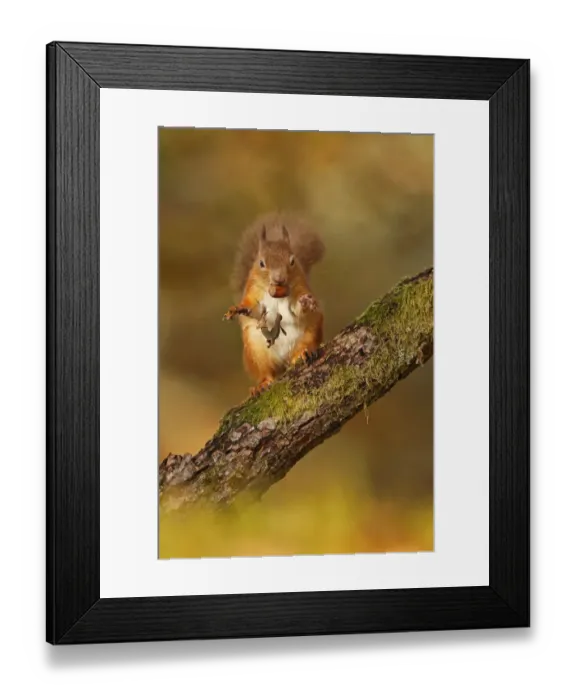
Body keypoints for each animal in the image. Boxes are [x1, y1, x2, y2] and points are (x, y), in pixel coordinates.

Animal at [223, 212, 325, 396]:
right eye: (261, 263)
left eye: (292, 260)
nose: (279, 278)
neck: (277, 293)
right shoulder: (253, 290)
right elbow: (253, 309)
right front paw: (238, 309)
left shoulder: (300, 286)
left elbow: (296, 309)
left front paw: (306, 303)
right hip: (256, 350)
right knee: (267, 372)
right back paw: (262, 384)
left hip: (310, 333)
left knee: (301, 349)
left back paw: (302, 354)